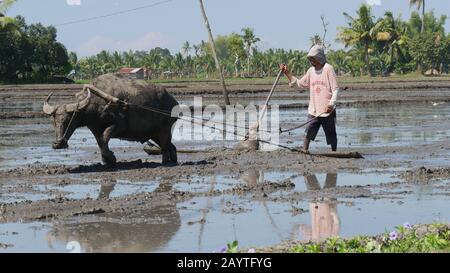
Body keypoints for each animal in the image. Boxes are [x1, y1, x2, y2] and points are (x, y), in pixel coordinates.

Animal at [42, 73, 179, 165]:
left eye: (68, 120)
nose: (57, 144)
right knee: (171, 147)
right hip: (154, 133)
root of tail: (173, 101)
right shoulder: (95, 129)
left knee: (166, 148)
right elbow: (100, 142)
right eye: (54, 122)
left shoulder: (119, 126)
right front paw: (107, 159)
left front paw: (111, 157)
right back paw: (173, 161)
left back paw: (164, 163)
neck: (97, 103)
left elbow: (105, 137)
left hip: (165, 129)